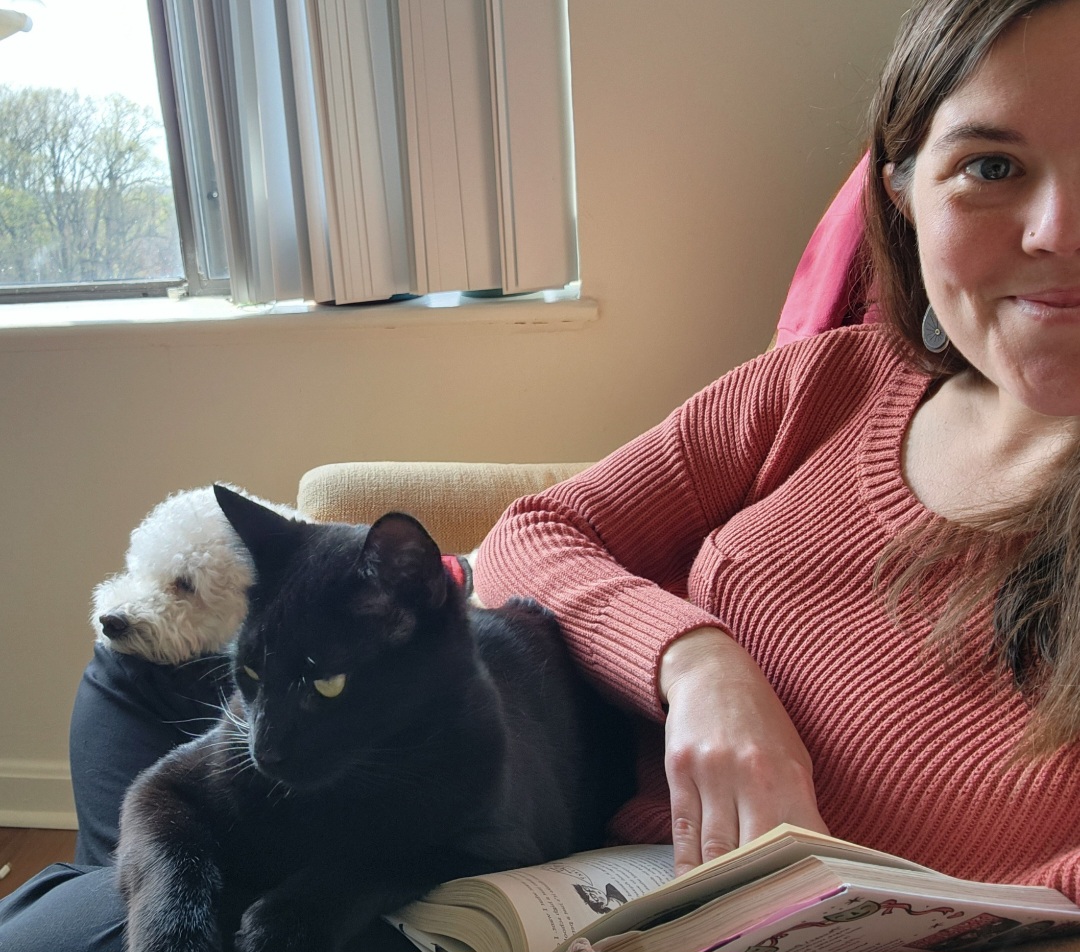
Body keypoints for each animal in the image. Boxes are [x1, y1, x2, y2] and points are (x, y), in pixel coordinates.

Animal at [118, 486, 630, 946]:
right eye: (250, 670)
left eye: (328, 683)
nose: (264, 752)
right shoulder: (159, 787)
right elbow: (170, 864)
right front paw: (173, 938)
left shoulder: (499, 845)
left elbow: (381, 855)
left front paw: (281, 922)